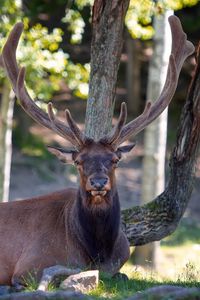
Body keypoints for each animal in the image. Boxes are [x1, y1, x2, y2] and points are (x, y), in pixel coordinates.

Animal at [0, 17, 194, 288]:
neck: (97, 253)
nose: (99, 182)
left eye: (114, 160)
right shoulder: (28, 266)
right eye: (78, 161)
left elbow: (122, 274)